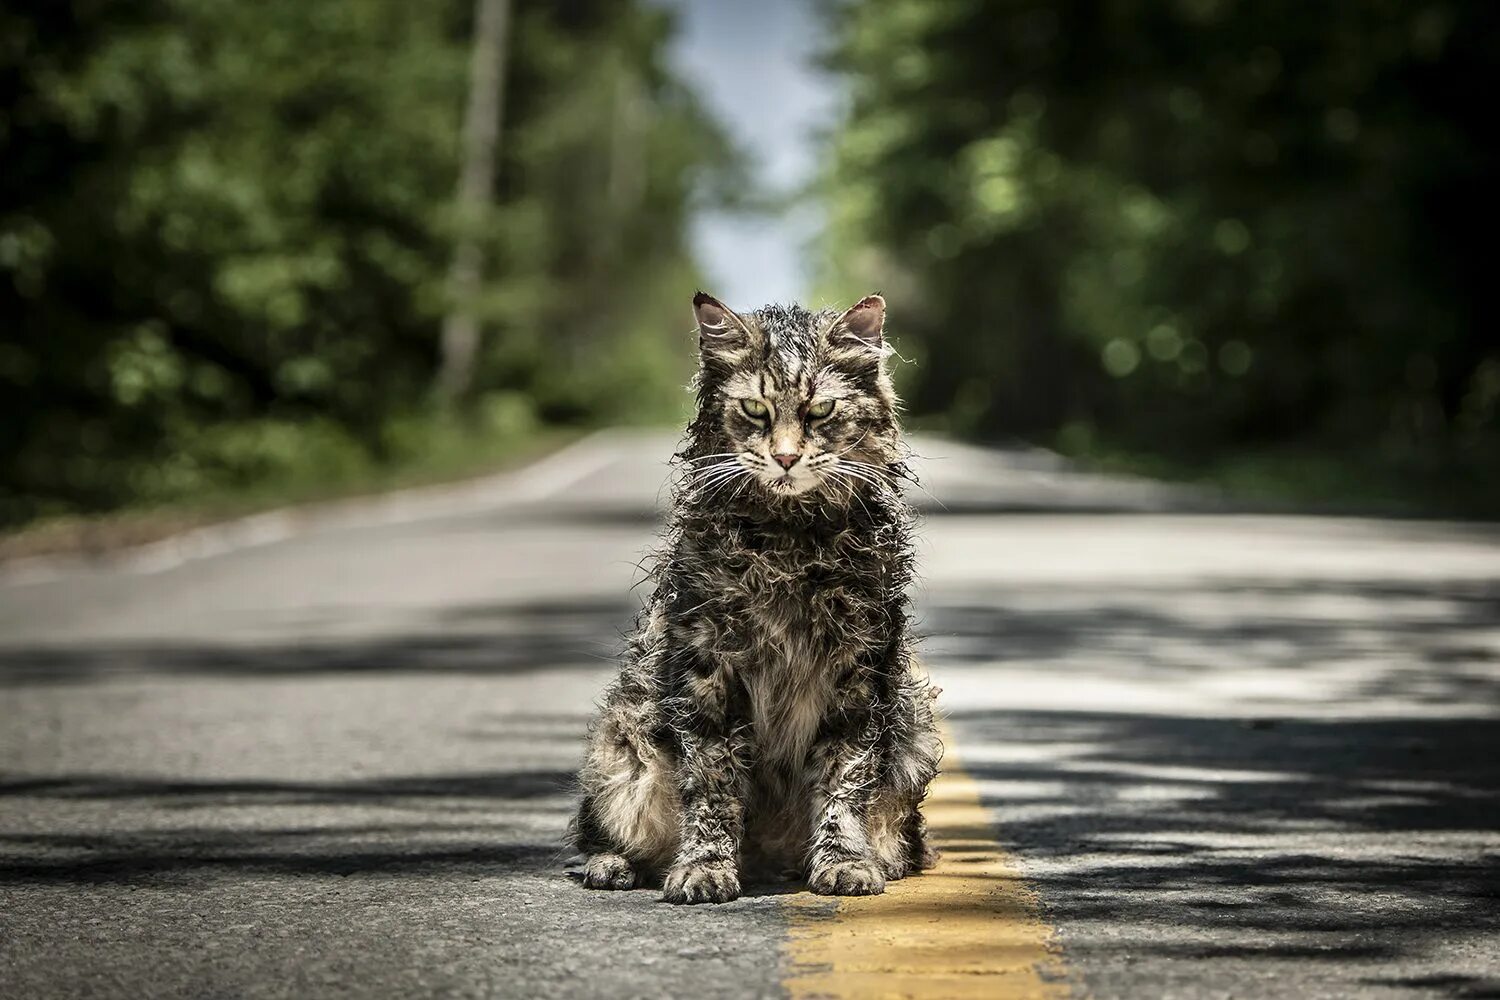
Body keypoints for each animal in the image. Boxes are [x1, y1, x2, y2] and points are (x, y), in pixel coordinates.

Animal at [570, 290, 936, 905]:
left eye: (820, 412)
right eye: (755, 410)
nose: (785, 458)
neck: (789, 543)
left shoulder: (859, 674)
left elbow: (843, 781)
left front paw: (844, 861)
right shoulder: (706, 671)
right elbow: (713, 785)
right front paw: (705, 868)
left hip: (914, 735)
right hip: (623, 745)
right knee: (602, 832)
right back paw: (612, 864)